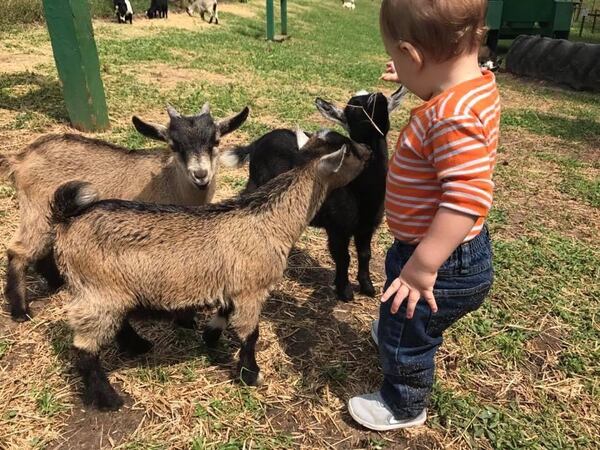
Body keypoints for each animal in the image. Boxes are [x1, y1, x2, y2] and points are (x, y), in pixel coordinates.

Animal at [0, 102, 248, 322]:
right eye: (174, 145)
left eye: (215, 141)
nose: (200, 175)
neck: (169, 181)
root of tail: (21, 158)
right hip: (37, 207)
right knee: (18, 250)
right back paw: (21, 311)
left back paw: (55, 282)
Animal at [50, 131, 370, 412]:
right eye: (350, 150)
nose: (368, 149)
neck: (270, 220)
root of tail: (67, 220)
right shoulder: (252, 289)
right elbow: (250, 334)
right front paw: (250, 374)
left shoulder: (232, 284)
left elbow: (225, 313)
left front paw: (211, 337)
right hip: (97, 290)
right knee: (84, 348)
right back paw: (107, 398)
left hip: (113, 290)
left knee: (117, 323)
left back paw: (138, 345)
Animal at [221, 87, 408, 302]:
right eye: (353, 107)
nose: (378, 96)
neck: (363, 192)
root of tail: (258, 141)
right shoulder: (337, 228)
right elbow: (344, 257)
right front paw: (344, 291)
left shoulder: (367, 226)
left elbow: (364, 254)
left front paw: (368, 287)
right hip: (256, 182)